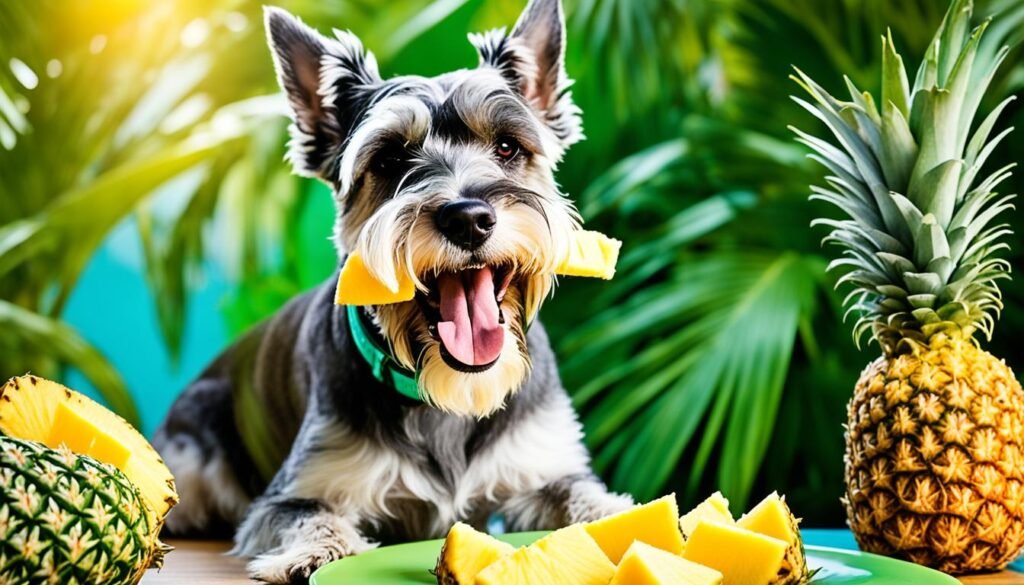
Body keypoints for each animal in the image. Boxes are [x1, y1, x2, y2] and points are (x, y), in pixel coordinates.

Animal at [151, 0, 630, 581]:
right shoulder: (291, 493)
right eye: (388, 159)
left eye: (507, 146)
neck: (447, 399)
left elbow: (590, 498)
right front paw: (319, 554)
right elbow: (311, 516)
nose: (468, 217)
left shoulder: (543, 470)